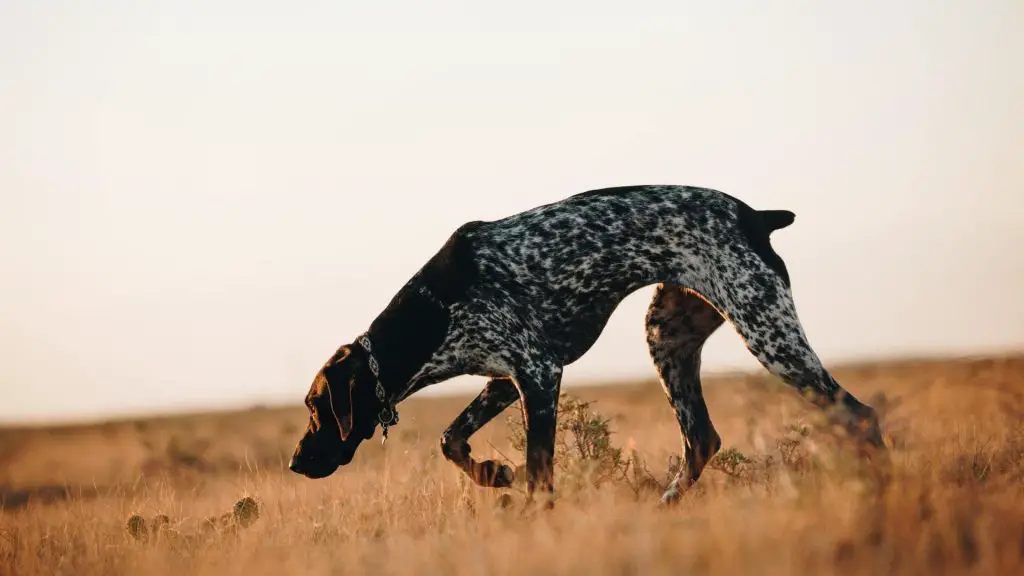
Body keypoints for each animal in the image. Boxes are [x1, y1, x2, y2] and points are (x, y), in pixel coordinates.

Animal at [288, 183, 888, 502]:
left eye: (317, 408)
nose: (295, 462)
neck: (436, 308)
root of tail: (756, 216)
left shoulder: (538, 374)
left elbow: (539, 472)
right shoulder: (506, 379)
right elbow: (449, 440)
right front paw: (491, 474)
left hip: (768, 333)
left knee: (859, 414)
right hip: (666, 338)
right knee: (702, 440)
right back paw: (665, 506)